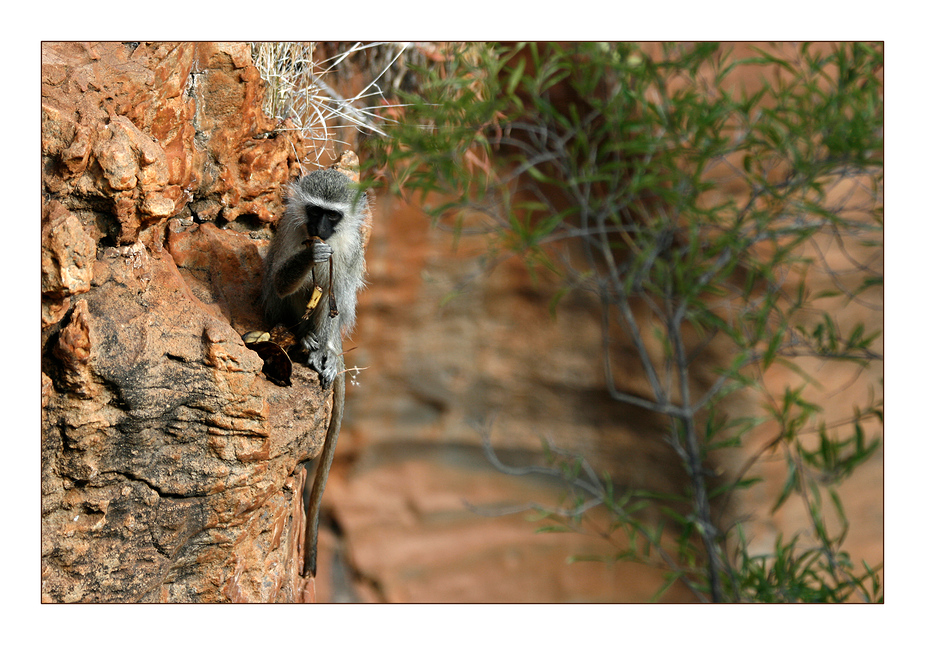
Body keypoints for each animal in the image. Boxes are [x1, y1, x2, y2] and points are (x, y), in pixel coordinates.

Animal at [260, 169, 368, 576]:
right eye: (314, 211)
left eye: (332, 215)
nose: (319, 230)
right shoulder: (291, 228)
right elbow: (280, 280)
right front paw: (310, 254)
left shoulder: (349, 248)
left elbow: (339, 292)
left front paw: (323, 353)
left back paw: (320, 348)